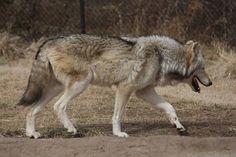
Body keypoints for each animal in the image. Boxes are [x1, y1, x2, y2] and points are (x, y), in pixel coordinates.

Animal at [16, 34, 212, 139]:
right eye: (203, 68)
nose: (211, 83)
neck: (161, 56)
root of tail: (48, 42)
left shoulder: (144, 91)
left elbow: (170, 107)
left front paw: (179, 126)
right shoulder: (124, 88)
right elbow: (118, 116)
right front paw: (118, 134)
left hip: (54, 89)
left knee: (31, 110)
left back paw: (32, 134)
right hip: (81, 84)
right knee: (58, 106)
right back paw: (72, 130)